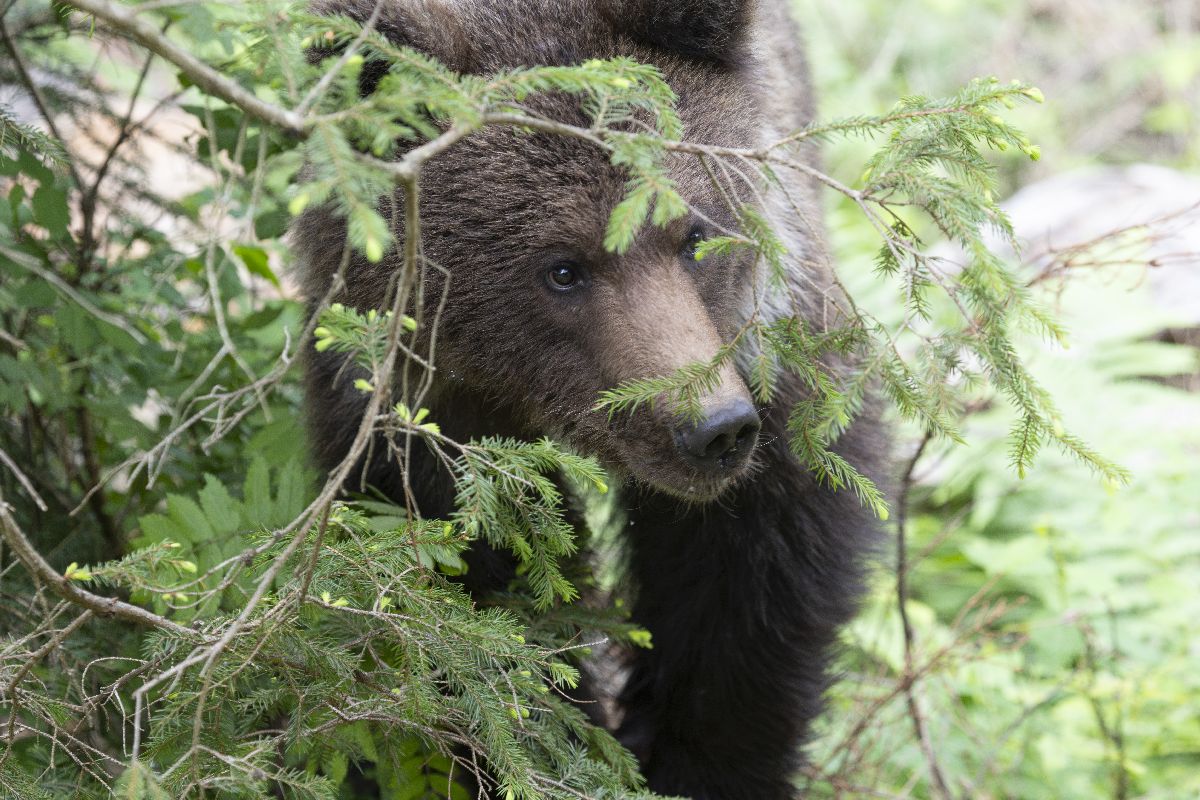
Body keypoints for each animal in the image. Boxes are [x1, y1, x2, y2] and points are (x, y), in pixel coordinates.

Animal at [295, 0, 888, 796]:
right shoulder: (424, 412)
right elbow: (474, 596)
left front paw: (696, 761)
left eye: (694, 233)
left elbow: (758, 579)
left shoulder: (769, 340)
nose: (714, 428)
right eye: (563, 268)